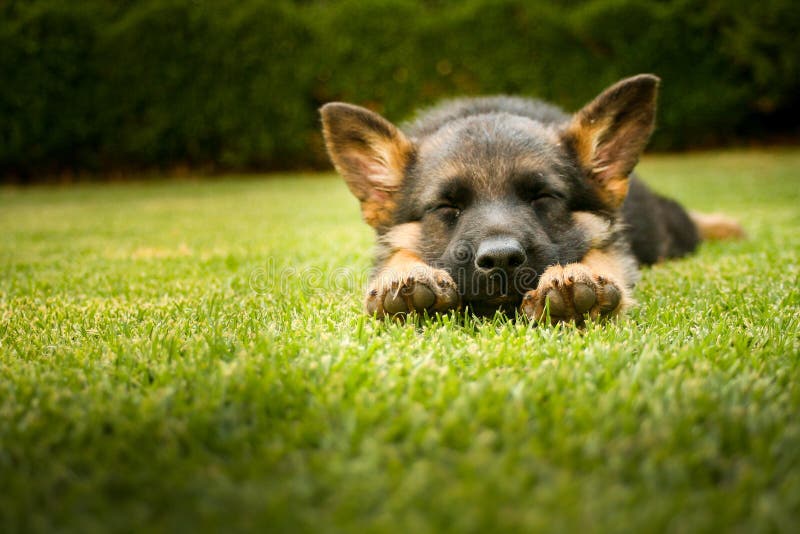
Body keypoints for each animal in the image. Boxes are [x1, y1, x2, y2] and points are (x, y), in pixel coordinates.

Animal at [320, 76, 744, 326]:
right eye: (446, 207)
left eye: (543, 197)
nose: (501, 260)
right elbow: (398, 253)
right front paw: (404, 275)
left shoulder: (612, 240)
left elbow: (602, 254)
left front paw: (582, 276)